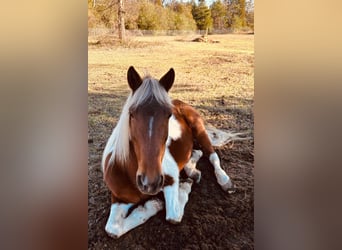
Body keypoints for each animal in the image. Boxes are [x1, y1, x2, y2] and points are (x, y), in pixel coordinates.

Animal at [100, 67, 236, 238]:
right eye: (131, 113)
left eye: (169, 115)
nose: (149, 183)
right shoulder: (119, 197)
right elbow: (112, 229)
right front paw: (151, 205)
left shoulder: (171, 179)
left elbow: (173, 216)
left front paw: (174, 193)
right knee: (197, 152)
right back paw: (192, 171)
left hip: (199, 128)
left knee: (212, 155)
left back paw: (224, 181)